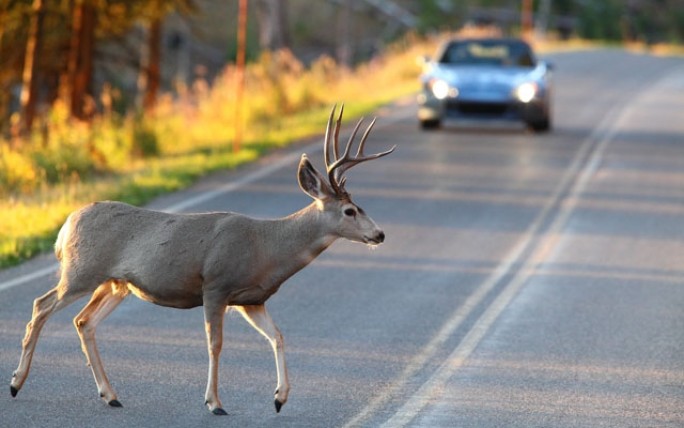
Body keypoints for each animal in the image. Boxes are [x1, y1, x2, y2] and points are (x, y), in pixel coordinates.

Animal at [9, 105, 396, 416]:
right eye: (350, 210)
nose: (379, 234)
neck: (267, 248)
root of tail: (65, 226)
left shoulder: (252, 299)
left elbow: (278, 336)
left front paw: (279, 398)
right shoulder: (216, 285)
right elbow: (215, 344)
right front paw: (215, 403)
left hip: (116, 283)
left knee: (83, 321)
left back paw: (110, 395)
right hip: (81, 270)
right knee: (41, 305)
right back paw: (16, 383)